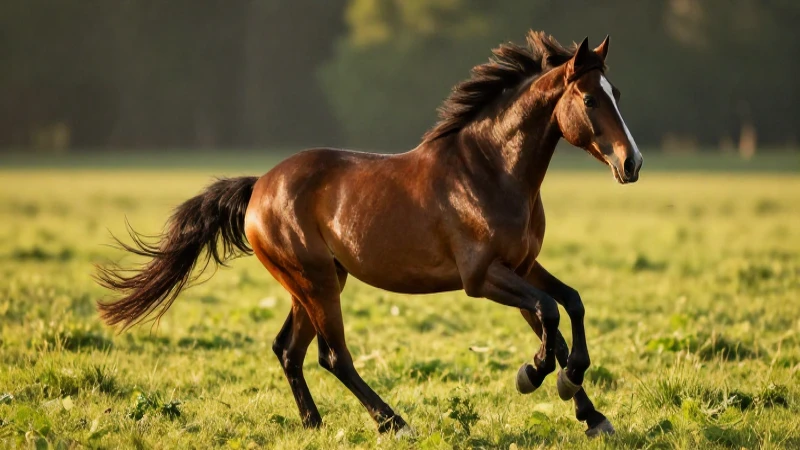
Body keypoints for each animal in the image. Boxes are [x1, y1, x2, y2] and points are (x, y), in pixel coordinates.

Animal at [96, 31, 642, 438]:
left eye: (617, 95)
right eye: (590, 98)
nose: (632, 163)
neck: (491, 170)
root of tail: (258, 188)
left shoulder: (523, 266)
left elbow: (567, 307)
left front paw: (587, 409)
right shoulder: (483, 276)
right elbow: (549, 314)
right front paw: (533, 375)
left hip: (314, 283)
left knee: (288, 350)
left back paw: (314, 425)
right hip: (316, 282)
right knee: (332, 355)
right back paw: (394, 423)